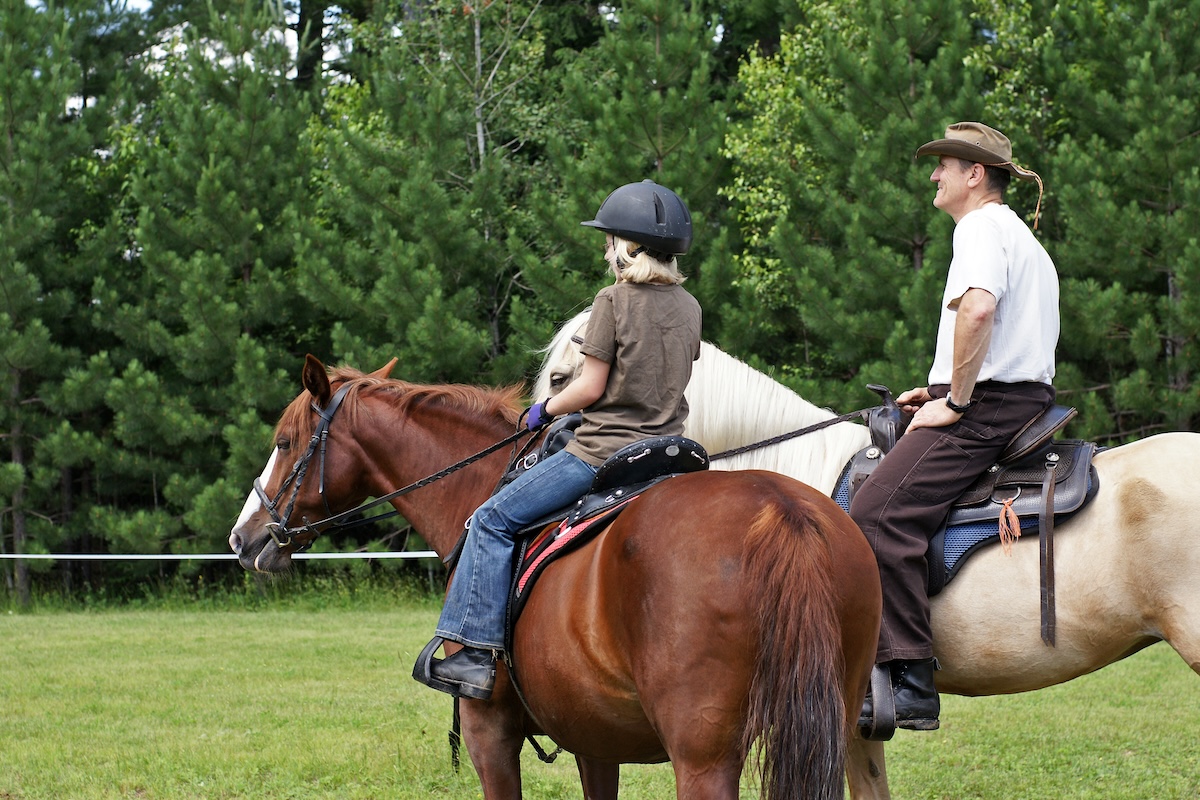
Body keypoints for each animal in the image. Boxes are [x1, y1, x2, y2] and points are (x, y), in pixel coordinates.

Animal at [226, 357, 883, 800]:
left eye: (284, 442)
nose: (244, 537)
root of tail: (782, 512)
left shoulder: (490, 732)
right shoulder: (595, 739)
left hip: (704, 758)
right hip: (837, 733)